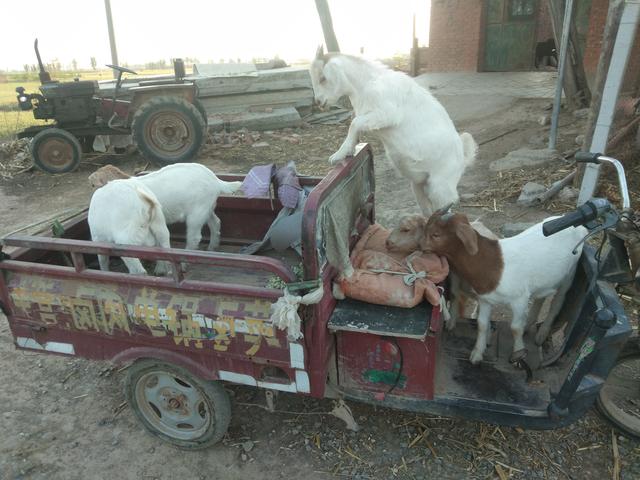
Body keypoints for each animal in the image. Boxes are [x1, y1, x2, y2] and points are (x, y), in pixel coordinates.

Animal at [308, 47, 478, 216]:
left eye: (322, 78)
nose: (319, 102)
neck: (366, 83)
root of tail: (463, 156)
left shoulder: (387, 114)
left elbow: (354, 123)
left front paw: (338, 155)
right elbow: (355, 123)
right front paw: (350, 148)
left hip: (440, 187)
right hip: (419, 186)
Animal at [418, 212, 588, 362]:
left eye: (436, 234)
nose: (419, 246)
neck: (494, 263)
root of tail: (579, 227)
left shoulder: (520, 299)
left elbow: (515, 328)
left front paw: (519, 352)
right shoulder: (485, 299)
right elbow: (482, 324)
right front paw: (477, 354)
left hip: (570, 273)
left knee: (558, 301)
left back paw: (541, 335)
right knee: (540, 297)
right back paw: (529, 324)